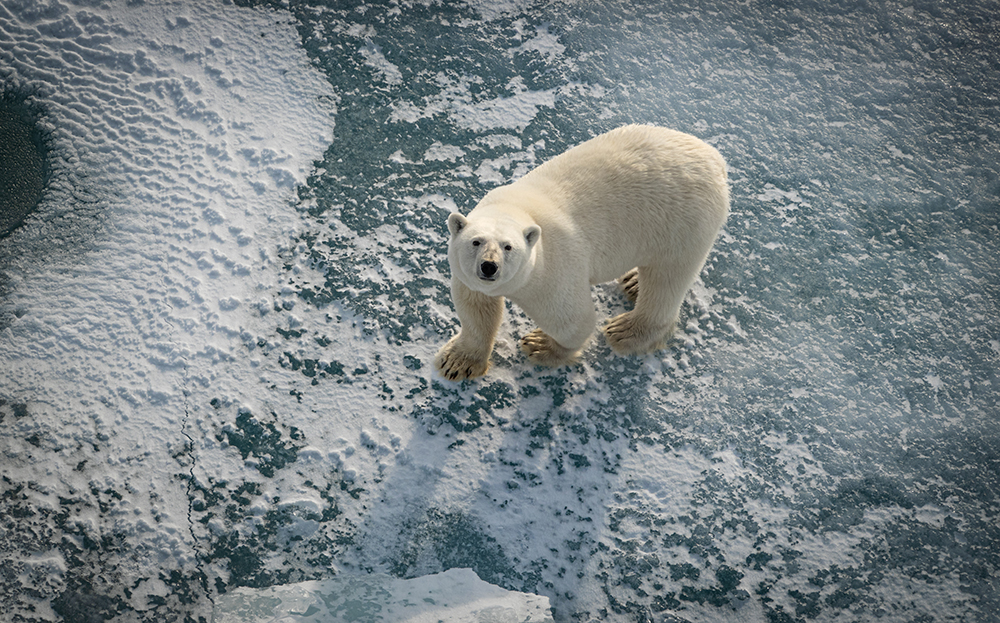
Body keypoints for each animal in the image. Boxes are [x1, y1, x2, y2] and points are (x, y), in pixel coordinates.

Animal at [434, 124, 729, 381]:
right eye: (476, 242)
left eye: (508, 246)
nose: (489, 266)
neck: (515, 208)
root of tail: (715, 158)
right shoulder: (470, 278)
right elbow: (476, 308)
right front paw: (456, 362)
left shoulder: (554, 267)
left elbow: (572, 320)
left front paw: (541, 345)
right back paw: (633, 281)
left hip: (681, 223)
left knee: (666, 279)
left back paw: (625, 330)